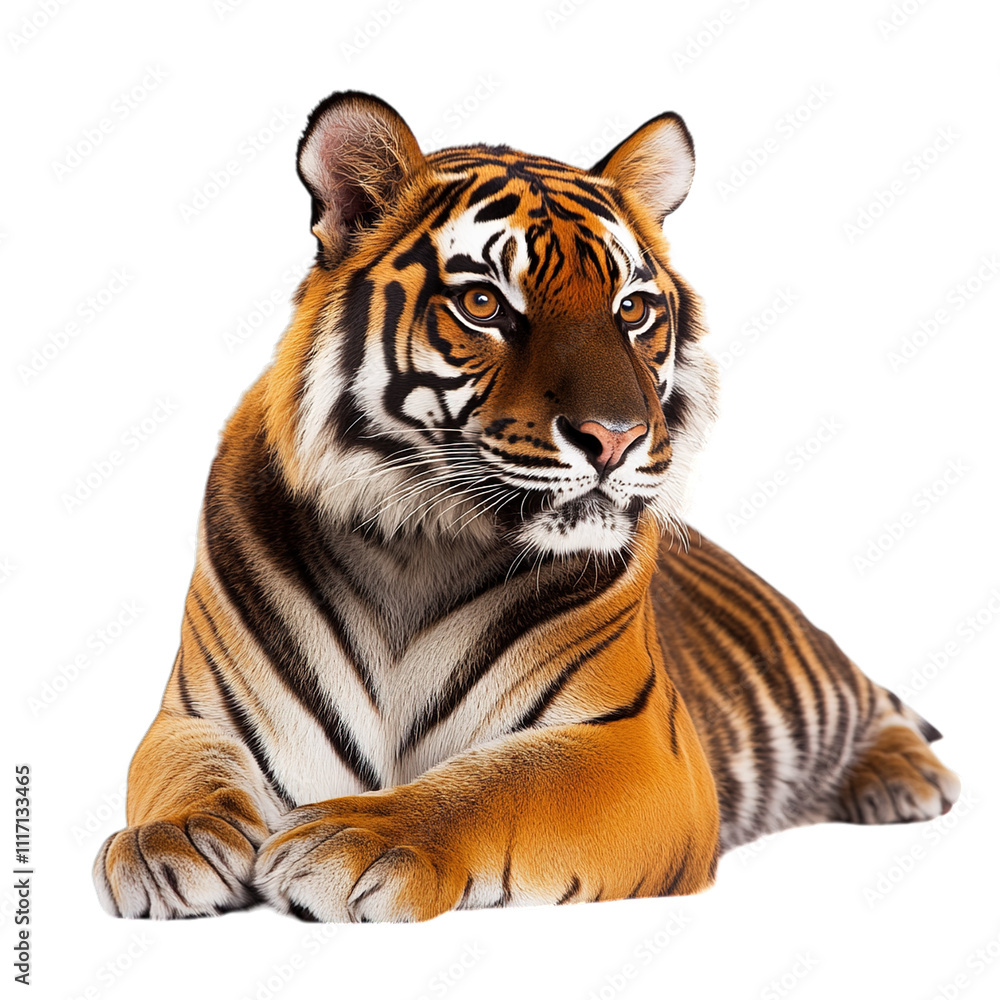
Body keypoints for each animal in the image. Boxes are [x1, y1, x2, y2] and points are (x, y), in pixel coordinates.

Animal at [93, 90, 960, 923]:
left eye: (633, 310)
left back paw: (905, 780)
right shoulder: (192, 716)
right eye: (483, 304)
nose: (616, 438)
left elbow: (498, 784)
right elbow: (185, 773)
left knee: (875, 702)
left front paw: (351, 840)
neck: (412, 545)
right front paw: (165, 844)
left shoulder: (635, 744)